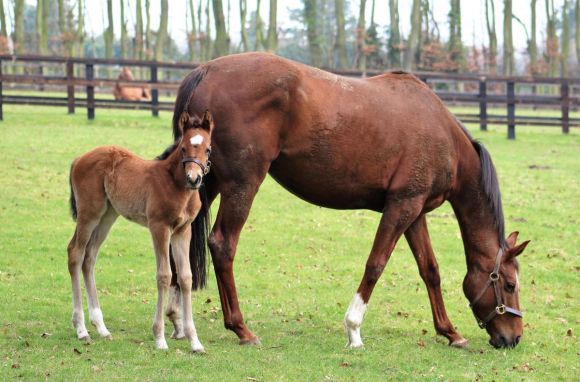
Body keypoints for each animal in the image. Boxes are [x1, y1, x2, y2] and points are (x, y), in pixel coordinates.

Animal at [68, 108, 213, 352]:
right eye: (183, 147)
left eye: (208, 149)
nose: (194, 178)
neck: (175, 184)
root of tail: (79, 158)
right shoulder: (159, 227)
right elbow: (165, 275)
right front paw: (160, 338)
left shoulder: (183, 231)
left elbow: (185, 277)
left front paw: (195, 341)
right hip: (89, 213)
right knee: (75, 254)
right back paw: (81, 330)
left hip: (108, 215)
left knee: (89, 257)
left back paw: (101, 327)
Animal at [162, 53, 532, 350]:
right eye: (510, 284)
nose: (513, 337)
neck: (442, 135)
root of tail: (206, 71)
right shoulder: (402, 207)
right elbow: (376, 264)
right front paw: (353, 330)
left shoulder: (414, 211)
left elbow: (430, 270)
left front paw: (450, 332)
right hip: (242, 184)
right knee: (222, 244)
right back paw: (240, 328)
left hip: (204, 181)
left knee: (182, 240)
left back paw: (178, 320)